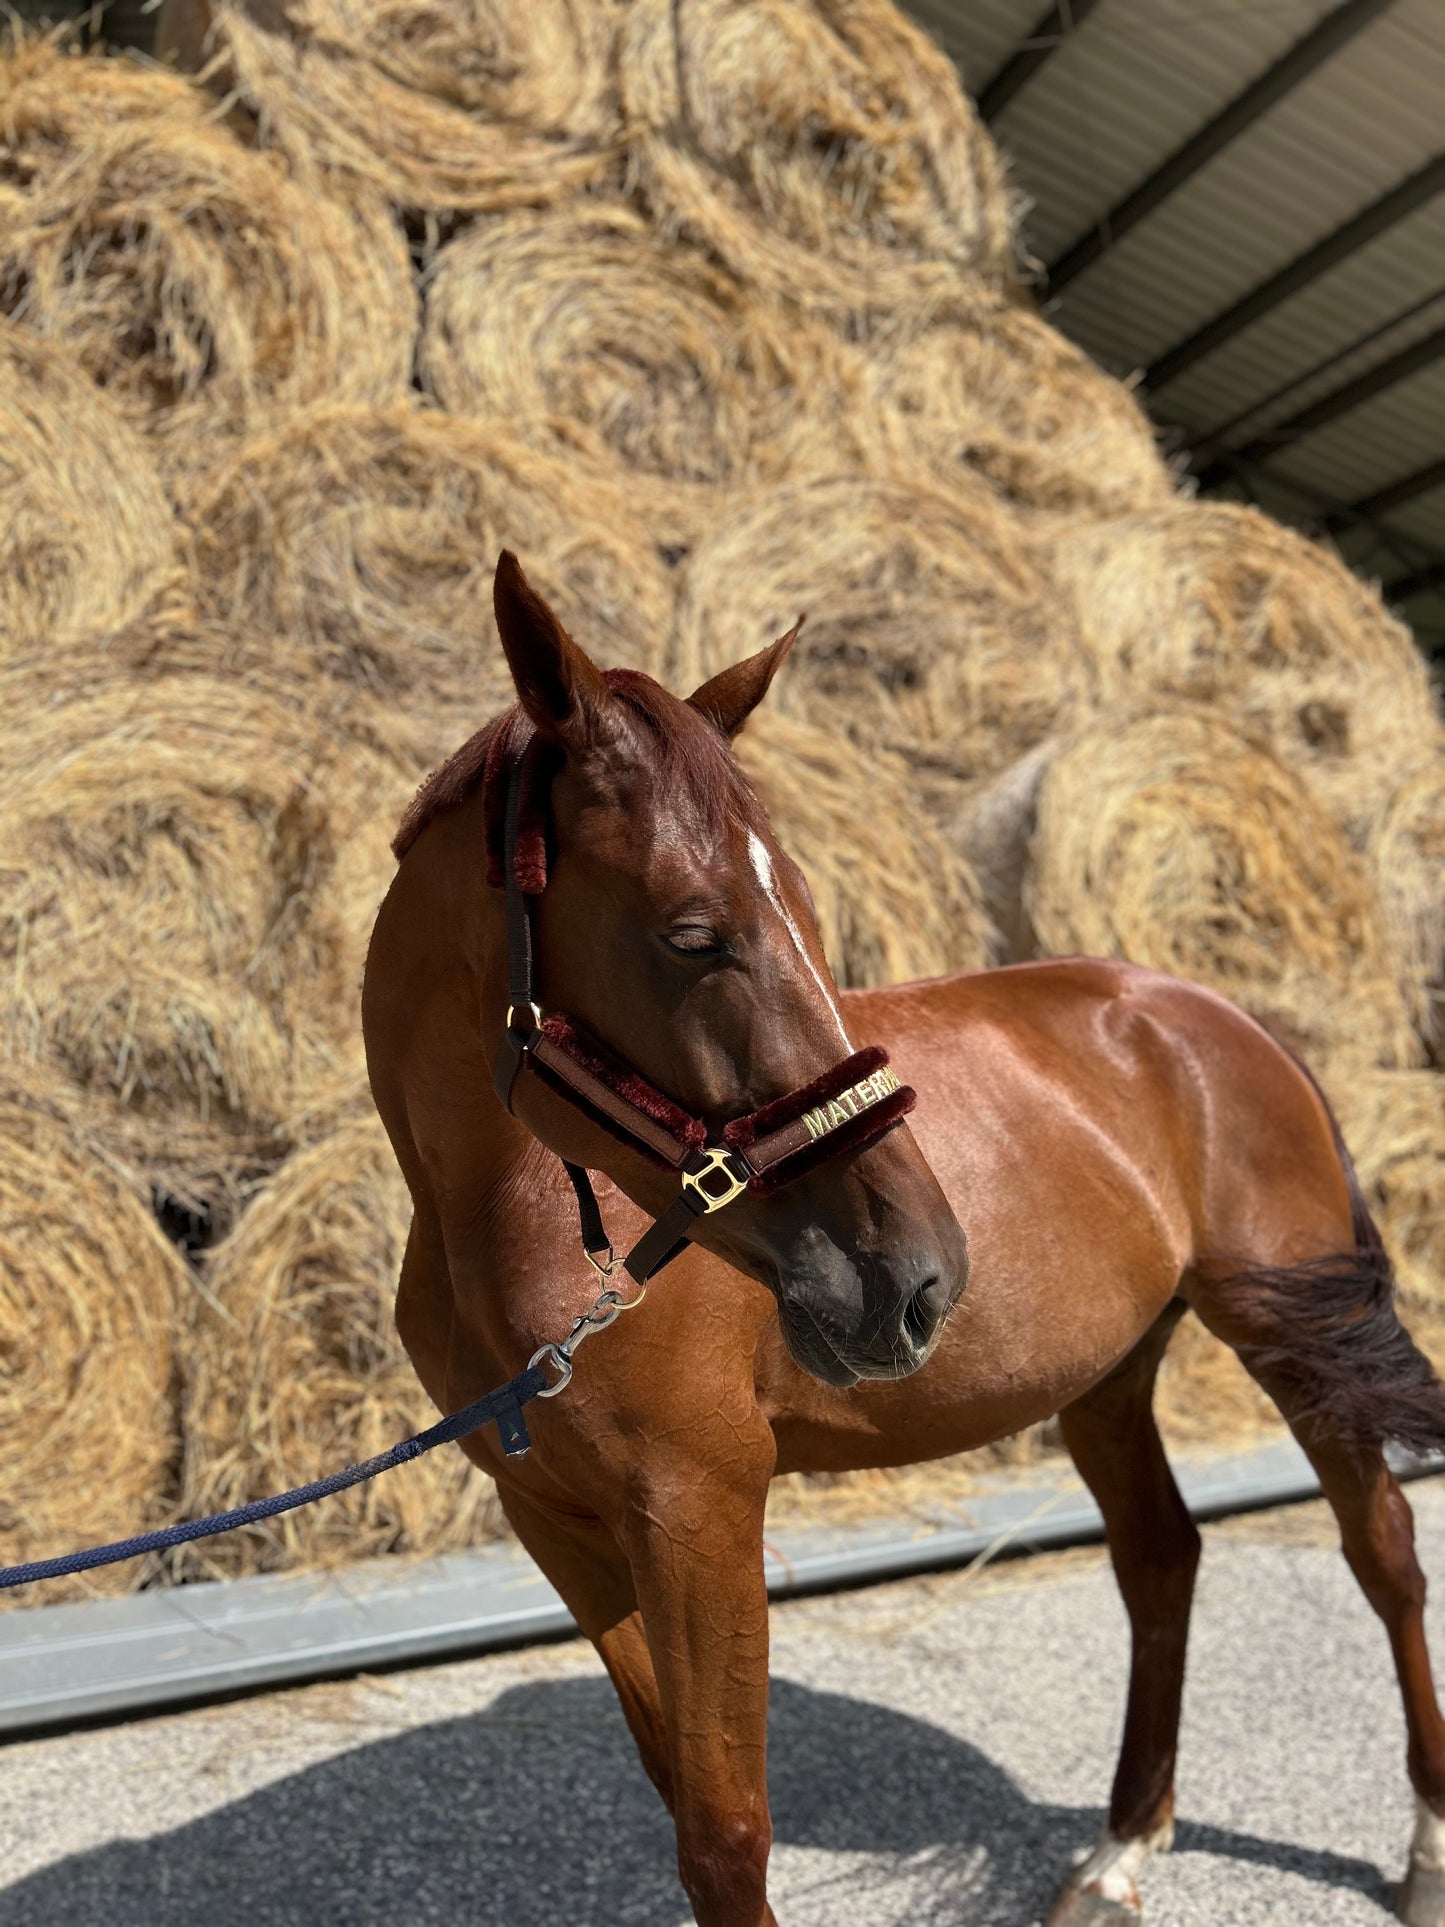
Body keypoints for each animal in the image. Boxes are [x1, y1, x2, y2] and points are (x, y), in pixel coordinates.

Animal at [364, 551, 1445, 1919]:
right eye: (691, 934)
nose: (917, 1275)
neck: (512, 1228)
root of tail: (1218, 1015)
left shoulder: (700, 1508)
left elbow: (725, 1832)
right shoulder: (561, 1524)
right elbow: (679, 1796)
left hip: (1291, 1340)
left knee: (1384, 1551)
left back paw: (1424, 1847)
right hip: (1107, 1373)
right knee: (1160, 1559)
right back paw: (1121, 1849)